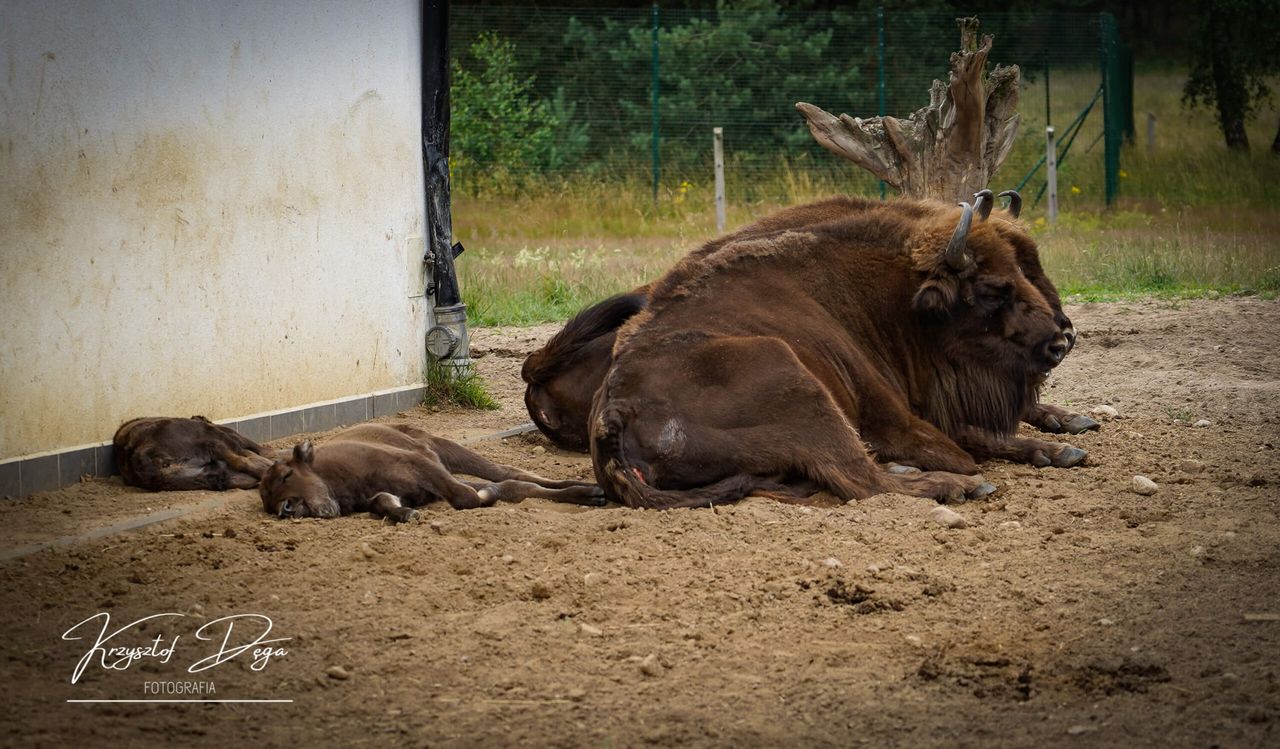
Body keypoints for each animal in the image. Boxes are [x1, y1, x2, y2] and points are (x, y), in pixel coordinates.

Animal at [258, 422, 604, 522]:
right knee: (517, 485)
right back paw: (590, 493)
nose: (287, 508)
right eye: (269, 503)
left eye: (287, 475)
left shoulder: (421, 464)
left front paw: (485, 495)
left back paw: (590, 488)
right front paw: (406, 514)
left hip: (450, 450)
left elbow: (467, 497)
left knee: (511, 472)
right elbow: (384, 502)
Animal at [588, 190, 1090, 507]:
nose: (1060, 341)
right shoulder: (898, 422)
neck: (894, 301)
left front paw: (1060, 450)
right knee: (865, 479)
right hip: (793, 377)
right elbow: (962, 447)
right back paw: (955, 487)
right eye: (991, 289)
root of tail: (616, 407)